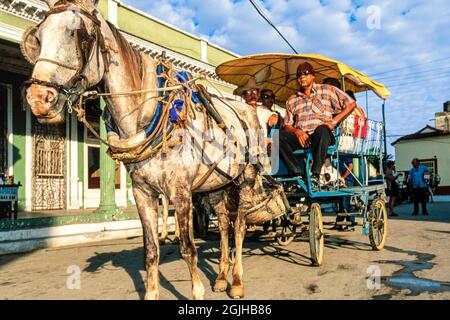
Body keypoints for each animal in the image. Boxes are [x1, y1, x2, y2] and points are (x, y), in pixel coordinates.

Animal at [22, 0, 276, 300]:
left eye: (81, 36)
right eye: (38, 38)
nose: (39, 98)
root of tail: (248, 110)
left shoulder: (181, 191)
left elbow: (188, 247)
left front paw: (196, 291)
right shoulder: (143, 192)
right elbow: (151, 250)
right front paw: (152, 292)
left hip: (245, 178)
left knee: (239, 227)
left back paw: (236, 281)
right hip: (217, 185)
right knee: (225, 224)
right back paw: (222, 277)